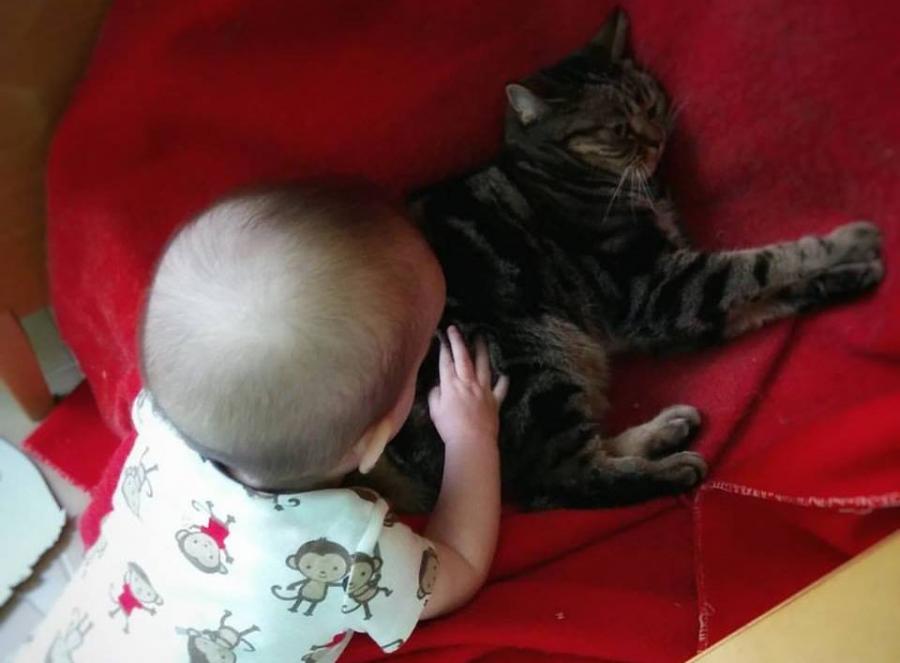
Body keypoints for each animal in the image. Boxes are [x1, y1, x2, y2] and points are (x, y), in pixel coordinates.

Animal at [357, 9, 884, 511]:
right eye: (617, 129)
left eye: (650, 102)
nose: (657, 138)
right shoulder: (662, 288)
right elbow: (765, 264)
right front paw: (853, 242)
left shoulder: (675, 309)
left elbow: (766, 295)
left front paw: (851, 276)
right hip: (533, 365)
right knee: (564, 481)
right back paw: (673, 465)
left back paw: (665, 430)